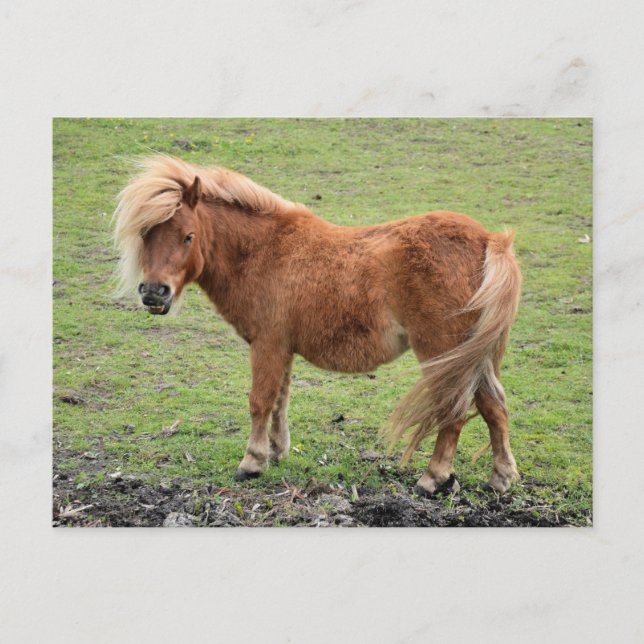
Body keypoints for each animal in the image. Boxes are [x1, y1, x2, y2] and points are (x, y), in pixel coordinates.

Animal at [114, 154, 522, 495]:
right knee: (493, 407)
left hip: (443, 353)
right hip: (475, 356)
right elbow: (280, 400)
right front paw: (277, 450)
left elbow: (260, 401)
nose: (154, 293)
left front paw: (252, 462)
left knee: (453, 411)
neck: (264, 251)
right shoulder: (283, 348)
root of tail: (488, 240)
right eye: (146, 234)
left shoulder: (267, 344)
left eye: (188, 236)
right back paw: (501, 477)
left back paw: (433, 478)